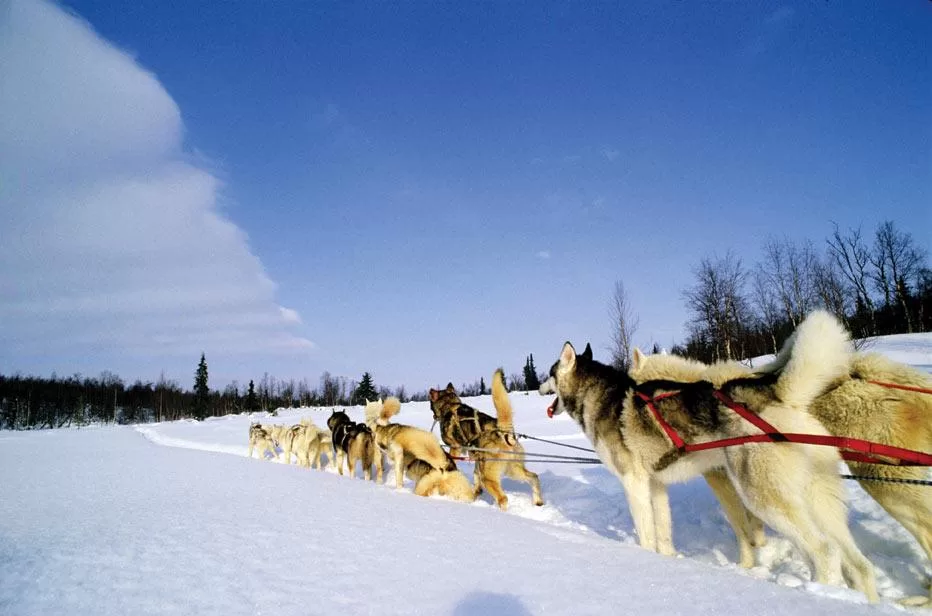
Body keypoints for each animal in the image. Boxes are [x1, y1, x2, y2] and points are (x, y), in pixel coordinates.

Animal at [544, 310, 876, 600]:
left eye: (549, 373)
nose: (539, 385)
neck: (599, 398)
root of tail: (775, 395)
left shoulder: (634, 482)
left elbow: (646, 532)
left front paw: (646, 560)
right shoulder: (656, 485)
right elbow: (663, 531)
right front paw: (667, 561)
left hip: (761, 496)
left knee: (824, 551)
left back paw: (818, 592)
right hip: (819, 498)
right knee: (857, 562)